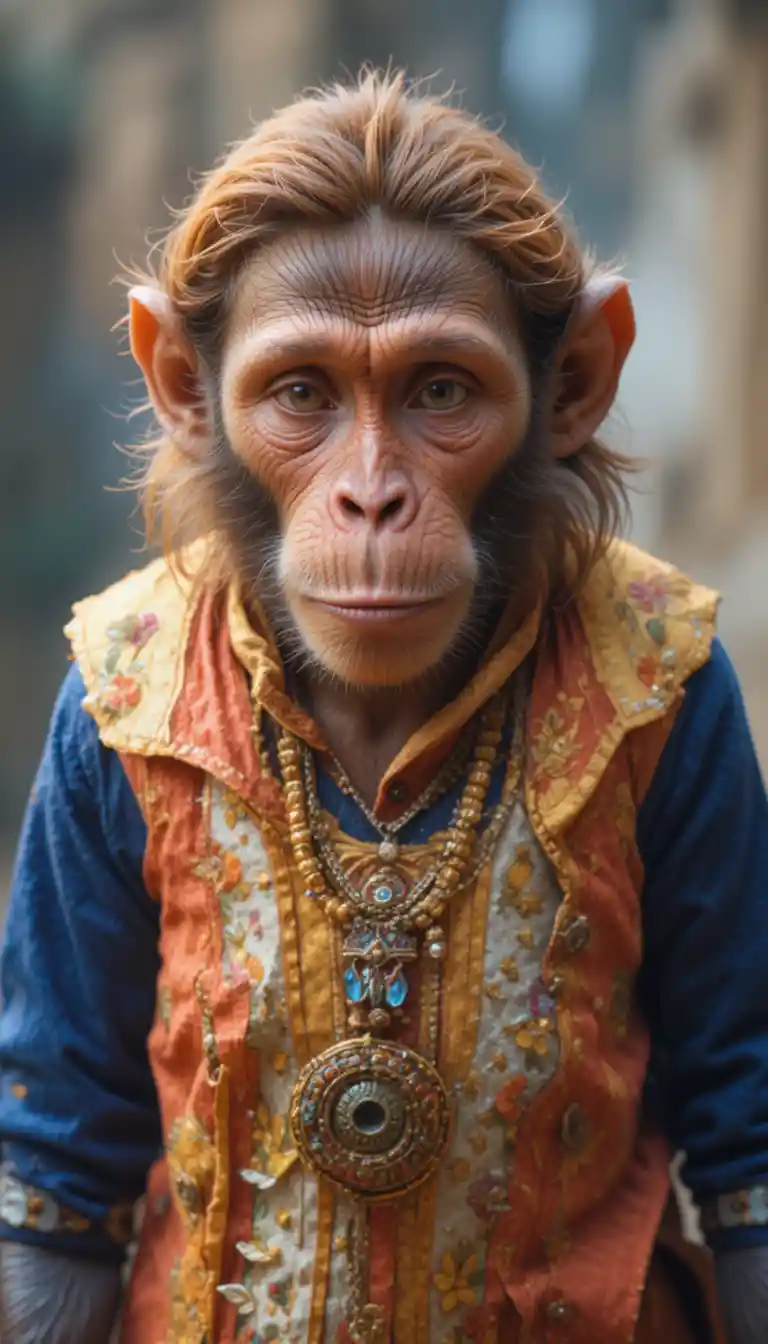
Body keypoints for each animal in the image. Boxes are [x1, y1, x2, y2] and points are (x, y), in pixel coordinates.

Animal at [0, 70, 766, 1344]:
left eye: (440, 392)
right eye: (303, 395)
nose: (371, 500)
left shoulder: (708, 713)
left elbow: (743, 1128)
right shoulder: (74, 742)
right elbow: (55, 1160)